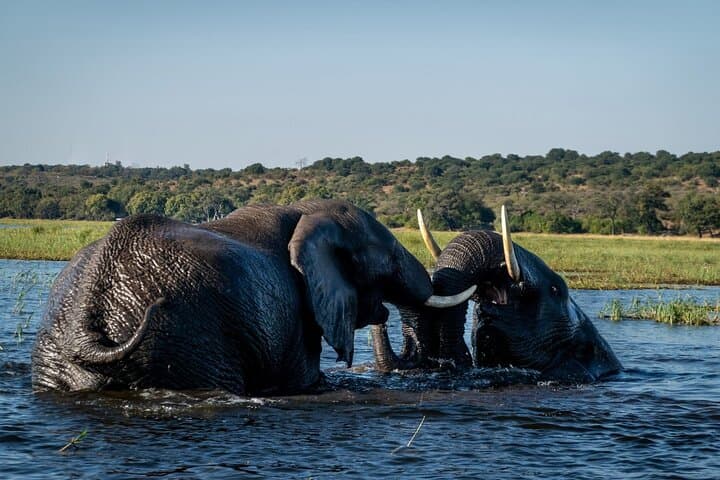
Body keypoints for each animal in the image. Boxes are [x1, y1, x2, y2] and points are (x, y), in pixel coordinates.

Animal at [32, 200, 474, 395]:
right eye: (390, 258)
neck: (307, 212)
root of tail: (87, 311)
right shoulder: (295, 315)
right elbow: (305, 381)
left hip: (56, 346)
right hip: (191, 338)